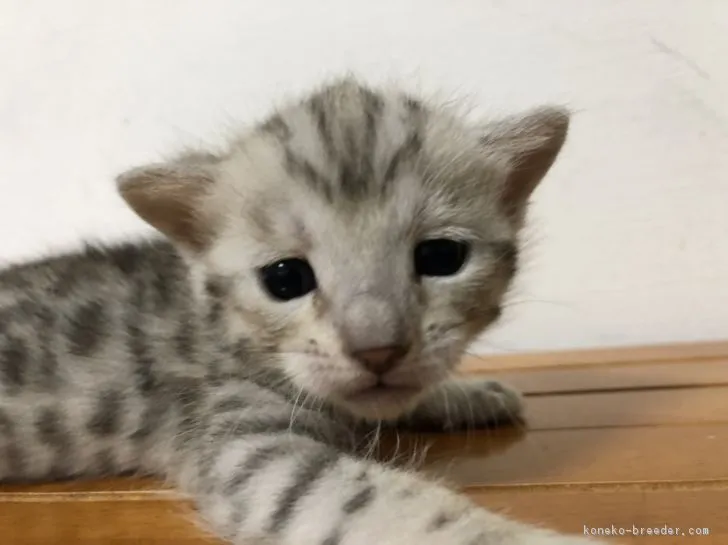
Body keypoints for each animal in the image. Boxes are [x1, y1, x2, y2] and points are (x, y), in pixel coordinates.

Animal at [0, 78, 604, 540]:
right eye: (285, 278)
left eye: (441, 257)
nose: (377, 349)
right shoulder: (248, 443)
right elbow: (384, 503)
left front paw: (467, 393)